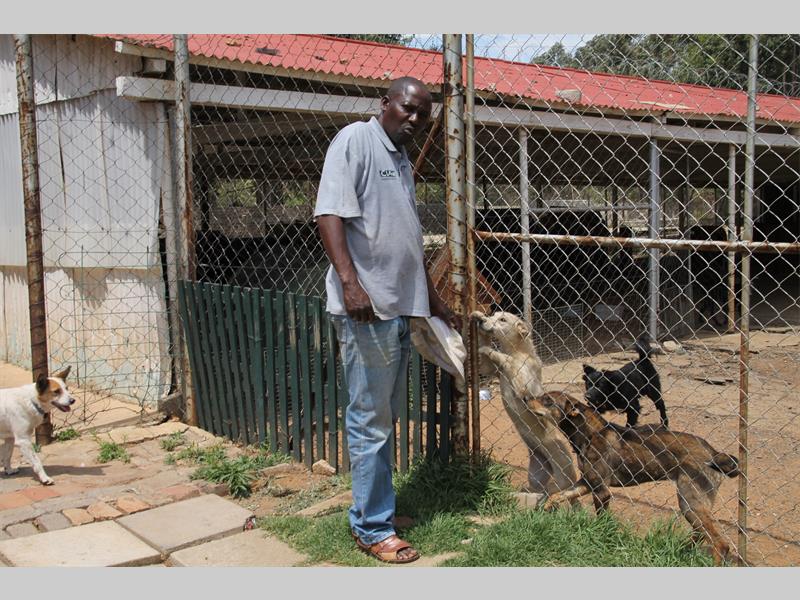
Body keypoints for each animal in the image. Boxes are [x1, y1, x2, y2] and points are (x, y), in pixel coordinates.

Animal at [470, 310, 578, 498]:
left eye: (503, 319)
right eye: (493, 314)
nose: (483, 321)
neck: (517, 351)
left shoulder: (525, 387)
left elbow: (506, 359)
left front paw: (489, 349)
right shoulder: (490, 369)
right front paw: (478, 316)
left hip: (562, 474)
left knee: (558, 490)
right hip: (535, 474)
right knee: (539, 487)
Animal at [532, 392, 738, 565]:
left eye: (547, 400)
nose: (526, 398)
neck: (588, 433)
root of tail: (714, 453)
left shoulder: (601, 491)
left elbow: (601, 521)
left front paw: (601, 538)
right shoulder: (587, 483)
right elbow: (557, 495)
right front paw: (544, 509)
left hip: (690, 502)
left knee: (720, 544)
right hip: (693, 505)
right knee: (701, 534)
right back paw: (682, 551)